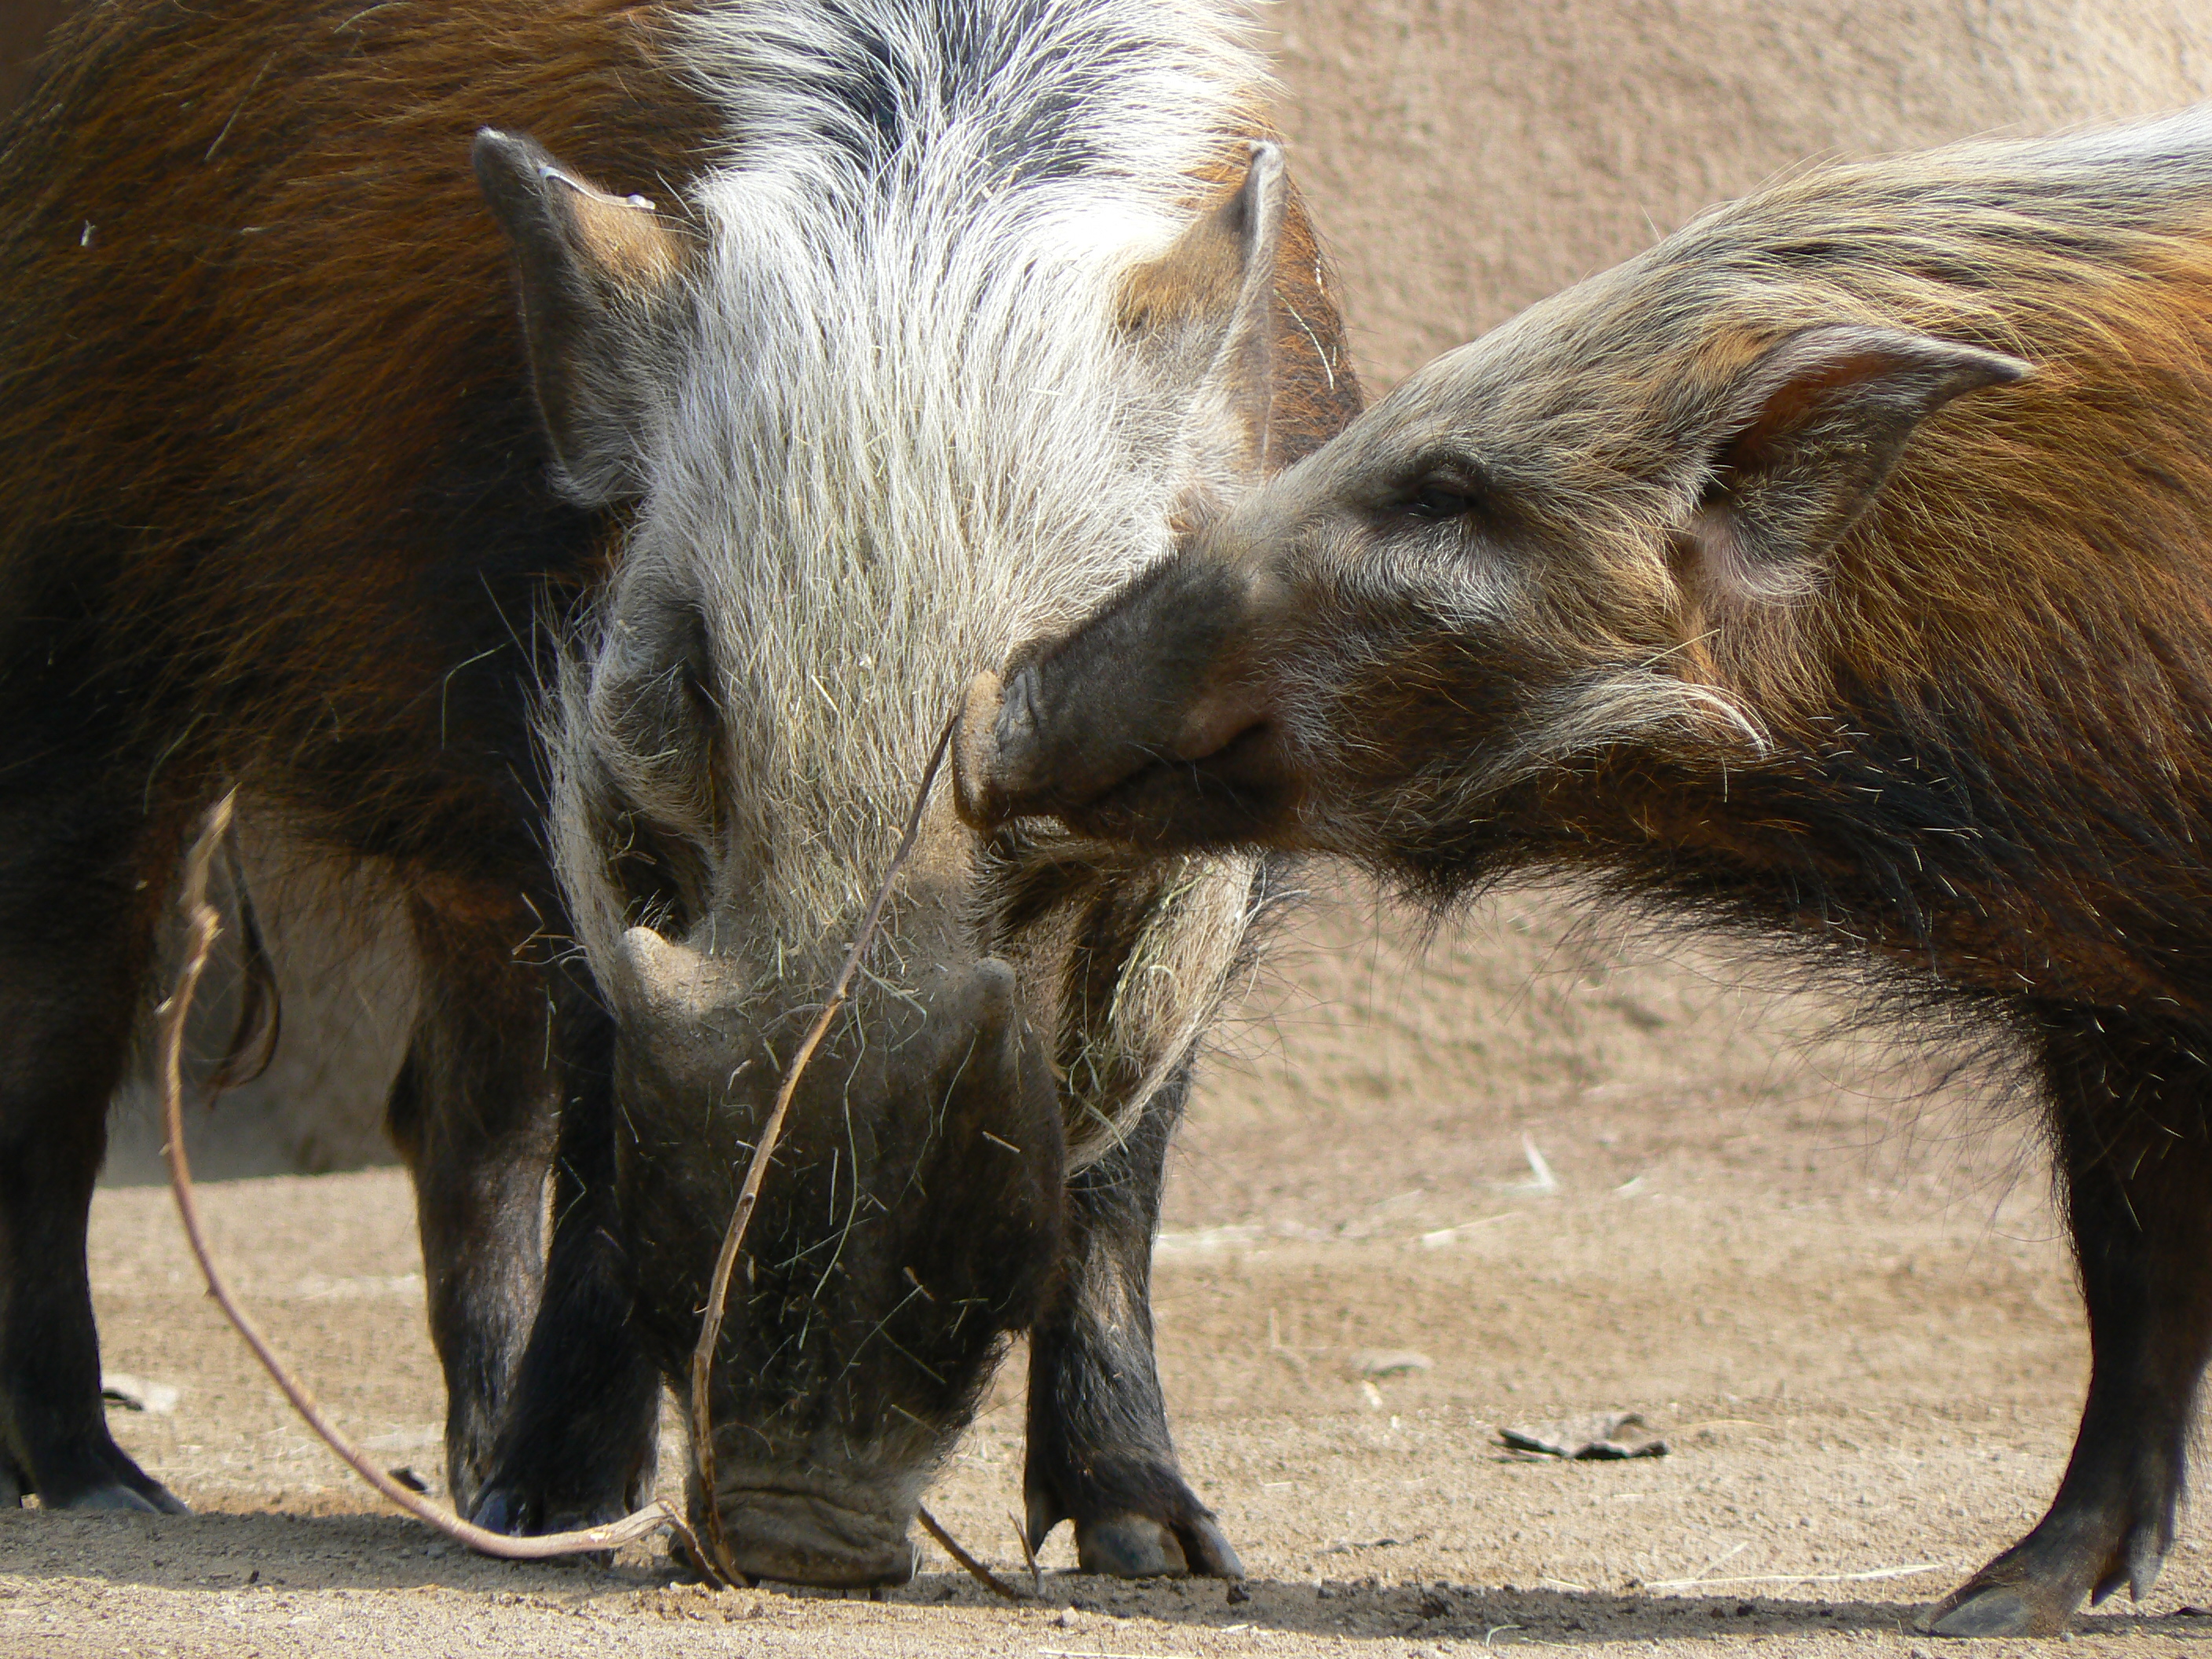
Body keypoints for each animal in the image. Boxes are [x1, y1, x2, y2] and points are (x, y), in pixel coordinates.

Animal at [0, 0, 1359, 1585]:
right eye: (692, 694)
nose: (792, 1528)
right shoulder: (566, 785)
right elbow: (603, 1113)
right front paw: (557, 1511)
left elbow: (1120, 1176)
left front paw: (1168, 1555)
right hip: (72, 670)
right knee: (55, 1087)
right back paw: (116, 1488)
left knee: (448, 1117)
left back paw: (459, 1488)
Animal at [958, 108, 2212, 1633]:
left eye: (1446, 494)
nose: (993, 707)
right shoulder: (2112, 1004)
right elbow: (2134, 1282)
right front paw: (1993, 1603)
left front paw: (1976, 1611)